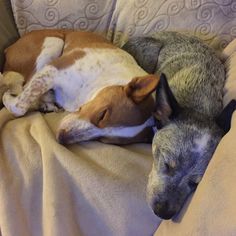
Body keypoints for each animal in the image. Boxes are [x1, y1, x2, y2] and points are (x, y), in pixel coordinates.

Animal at [0, 29, 159, 144]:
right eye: (102, 115)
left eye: (104, 140)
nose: (61, 138)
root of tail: (8, 49)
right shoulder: (53, 69)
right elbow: (19, 106)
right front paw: (8, 97)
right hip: (54, 42)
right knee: (25, 85)